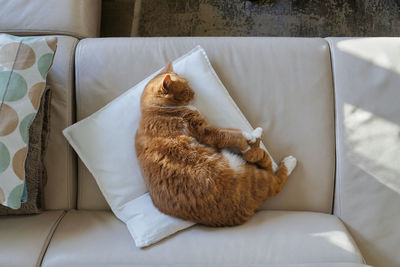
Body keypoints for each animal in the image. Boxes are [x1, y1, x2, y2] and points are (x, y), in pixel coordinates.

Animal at [137, 61, 296, 227]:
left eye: (189, 85)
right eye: (186, 90)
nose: (194, 92)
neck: (155, 110)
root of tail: (250, 209)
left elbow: (229, 129)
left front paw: (249, 136)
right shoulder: (203, 131)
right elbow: (232, 134)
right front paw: (248, 137)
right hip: (255, 176)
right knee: (271, 173)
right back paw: (282, 156)